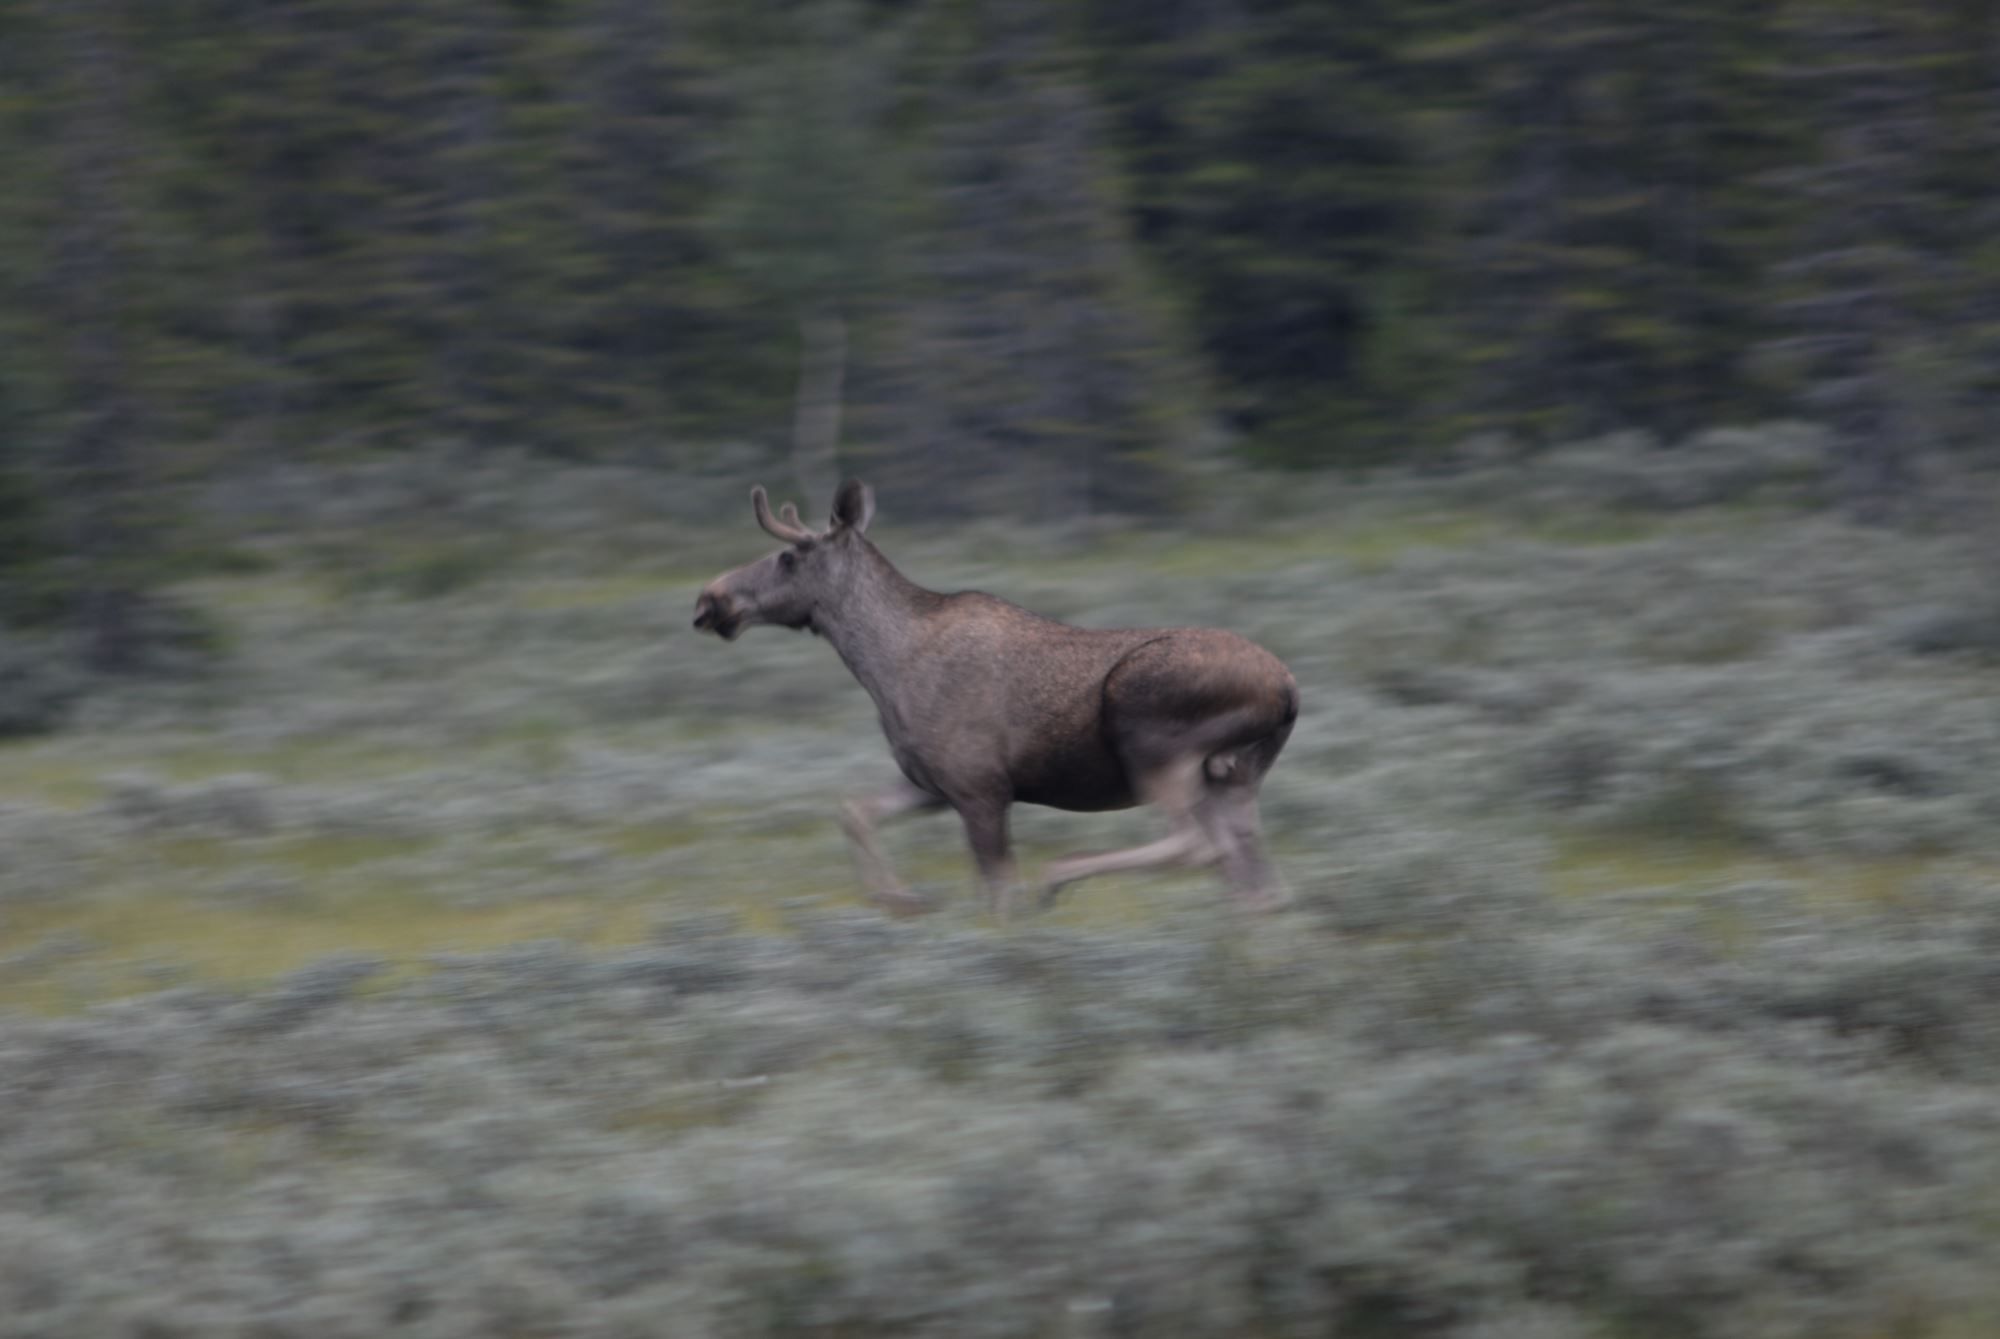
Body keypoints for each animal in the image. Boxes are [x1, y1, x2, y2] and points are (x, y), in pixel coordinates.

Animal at [693, 479, 1298, 918]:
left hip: (1153, 744)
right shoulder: (934, 783)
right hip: (1236, 777)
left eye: (788, 557)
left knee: (1198, 844)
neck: (882, 668)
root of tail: (1289, 691)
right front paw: (900, 896)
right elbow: (854, 811)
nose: (709, 599)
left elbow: (999, 893)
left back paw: (1059, 875)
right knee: (1257, 880)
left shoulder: (980, 787)